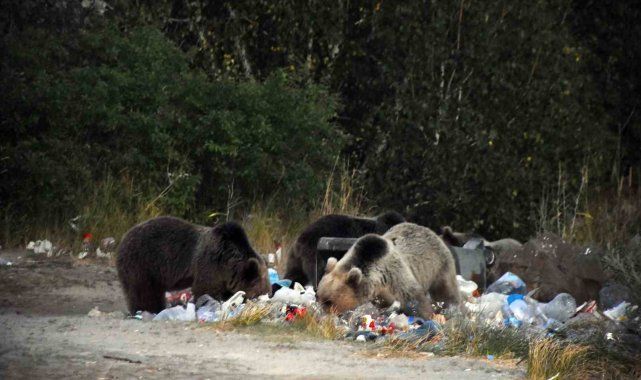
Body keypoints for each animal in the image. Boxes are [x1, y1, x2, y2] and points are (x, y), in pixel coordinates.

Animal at [117, 215, 270, 314]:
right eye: (261, 290)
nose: (269, 295)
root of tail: (123, 238)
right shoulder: (210, 265)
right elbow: (205, 289)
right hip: (143, 263)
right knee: (143, 290)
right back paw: (147, 309)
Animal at [316, 223, 460, 318]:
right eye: (318, 296)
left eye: (329, 301)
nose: (321, 315)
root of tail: (433, 233)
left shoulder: (395, 275)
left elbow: (415, 297)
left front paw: (427, 315)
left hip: (439, 266)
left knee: (447, 292)